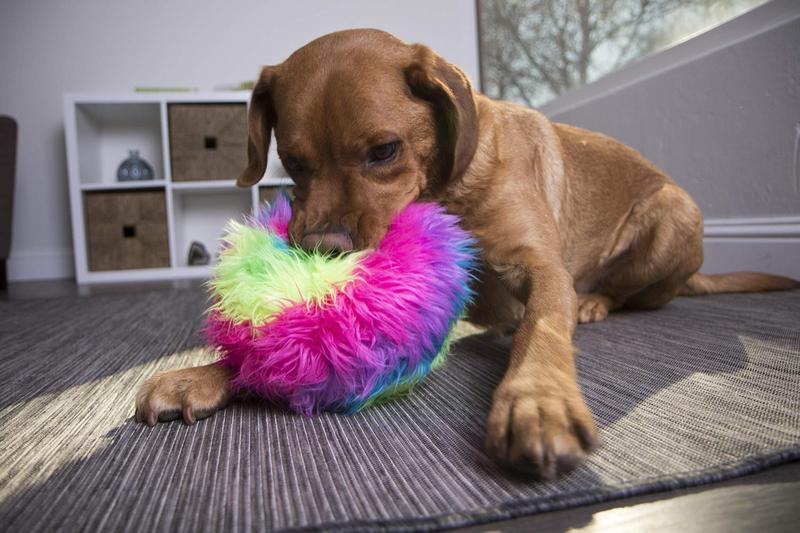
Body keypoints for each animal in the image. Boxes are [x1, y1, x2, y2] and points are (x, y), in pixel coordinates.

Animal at [136, 29, 792, 478]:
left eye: (383, 151)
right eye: (292, 162)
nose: (320, 250)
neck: (448, 189)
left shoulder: (541, 269)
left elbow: (541, 330)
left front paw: (538, 399)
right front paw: (207, 373)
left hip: (674, 213)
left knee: (632, 294)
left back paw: (595, 302)